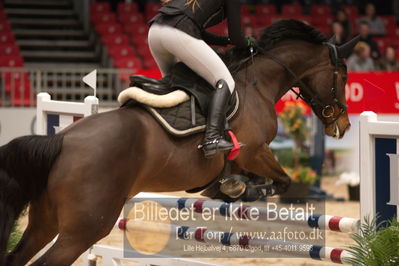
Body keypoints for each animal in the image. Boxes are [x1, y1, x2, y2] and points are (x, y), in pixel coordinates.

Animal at [0, 19, 356, 264]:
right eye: (343, 75)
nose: (343, 125)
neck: (258, 83)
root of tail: (61, 142)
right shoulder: (255, 151)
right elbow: (282, 181)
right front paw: (242, 189)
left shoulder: (249, 157)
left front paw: (229, 187)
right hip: (84, 228)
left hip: (46, 220)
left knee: (17, 256)